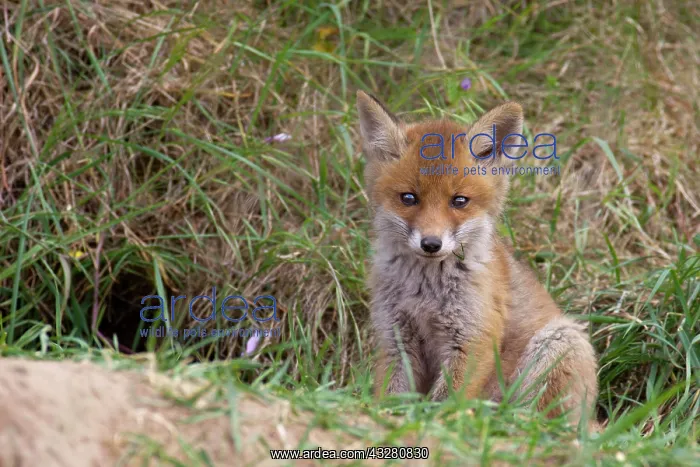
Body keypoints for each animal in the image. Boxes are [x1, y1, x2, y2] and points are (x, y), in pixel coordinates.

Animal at [356, 90, 599, 429]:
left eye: (459, 201)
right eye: (409, 198)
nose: (431, 244)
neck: (424, 293)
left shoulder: (473, 338)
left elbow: (445, 402)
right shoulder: (396, 337)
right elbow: (392, 396)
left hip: (559, 341)